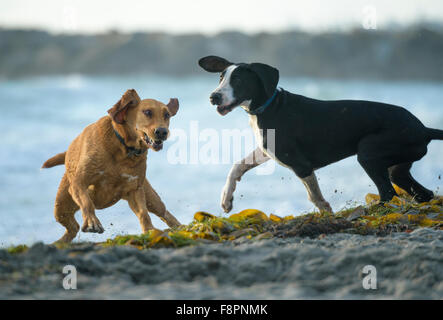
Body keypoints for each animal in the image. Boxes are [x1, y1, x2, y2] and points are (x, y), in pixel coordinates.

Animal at [41, 89, 180, 241]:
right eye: (147, 112)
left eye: (167, 115)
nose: (162, 132)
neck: (124, 148)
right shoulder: (79, 183)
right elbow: (86, 201)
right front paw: (92, 222)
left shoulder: (135, 190)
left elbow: (144, 213)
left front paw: (149, 231)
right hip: (61, 207)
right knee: (73, 226)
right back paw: (60, 242)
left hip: (151, 197)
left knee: (164, 212)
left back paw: (179, 227)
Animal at [199, 55, 443, 212]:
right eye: (220, 78)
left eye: (238, 80)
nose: (213, 97)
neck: (268, 107)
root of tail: (423, 128)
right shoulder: (266, 150)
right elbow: (237, 166)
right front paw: (226, 200)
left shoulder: (301, 165)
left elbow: (314, 195)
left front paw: (327, 212)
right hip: (397, 166)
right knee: (422, 193)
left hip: (369, 153)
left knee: (388, 193)